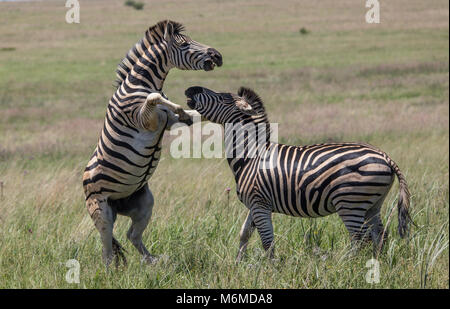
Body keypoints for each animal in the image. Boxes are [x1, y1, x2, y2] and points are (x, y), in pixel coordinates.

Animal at [83, 20, 223, 266]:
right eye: (185, 44)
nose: (217, 55)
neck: (141, 84)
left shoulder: (168, 123)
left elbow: (197, 113)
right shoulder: (145, 120)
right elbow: (155, 98)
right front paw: (176, 104)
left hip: (143, 202)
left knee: (132, 235)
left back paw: (153, 262)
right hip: (100, 209)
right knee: (107, 248)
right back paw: (111, 270)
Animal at [185, 85, 414, 262]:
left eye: (222, 97)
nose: (190, 89)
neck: (251, 156)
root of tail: (385, 156)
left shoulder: (260, 204)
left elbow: (267, 242)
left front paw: (271, 270)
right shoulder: (255, 203)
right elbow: (244, 234)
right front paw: (238, 265)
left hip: (350, 202)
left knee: (360, 239)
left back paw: (348, 266)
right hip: (372, 204)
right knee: (380, 235)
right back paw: (375, 263)